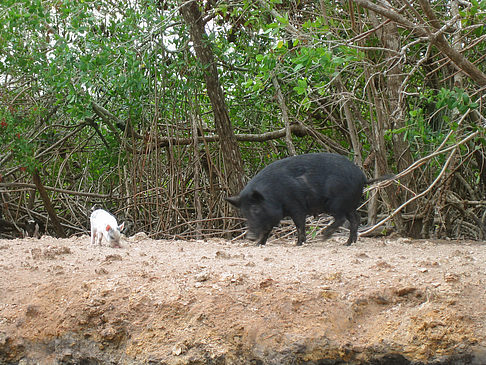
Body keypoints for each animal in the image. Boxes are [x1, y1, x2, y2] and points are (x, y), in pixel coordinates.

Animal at [227, 152, 392, 246]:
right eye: (244, 212)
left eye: (255, 209)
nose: (249, 237)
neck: (273, 194)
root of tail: (363, 177)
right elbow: (268, 229)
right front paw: (259, 244)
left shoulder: (296, 206)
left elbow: (299, 224)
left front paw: (299, 244)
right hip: (349, 204)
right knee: (355, 219)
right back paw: (348, 243)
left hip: (336, 202)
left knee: (341, 219)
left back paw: (324, 236)